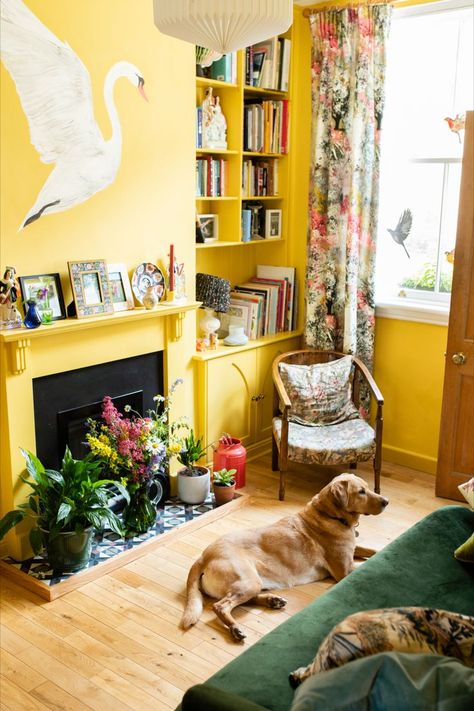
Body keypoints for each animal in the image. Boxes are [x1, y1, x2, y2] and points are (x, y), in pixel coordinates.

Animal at [181, 476, 388, 644]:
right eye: (361, 492)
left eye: (367, 488)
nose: (386, 501)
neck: (330, 515)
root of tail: (204, 556)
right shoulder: (345, 570)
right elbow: (366, 562)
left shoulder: (352, 549)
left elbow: (373, 550)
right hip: (247, 579)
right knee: (221, 606)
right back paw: (236, 628)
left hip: (252, 582)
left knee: (241, 599)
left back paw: (272, 601)